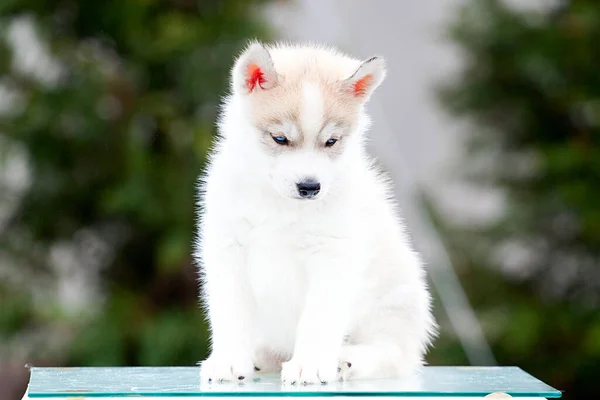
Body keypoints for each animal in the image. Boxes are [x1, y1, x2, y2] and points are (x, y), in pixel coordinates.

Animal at [197, 42, 436, 386]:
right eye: (280, 138)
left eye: (331, 141)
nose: (310, 187)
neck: (280, 205)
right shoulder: (227, 248)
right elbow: (231, 313)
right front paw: (229, 361)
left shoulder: (333, 255)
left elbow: (318, 319)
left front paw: (309, 365)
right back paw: (260, 356)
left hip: (393, 304)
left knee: (393, 354)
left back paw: (346, 360)